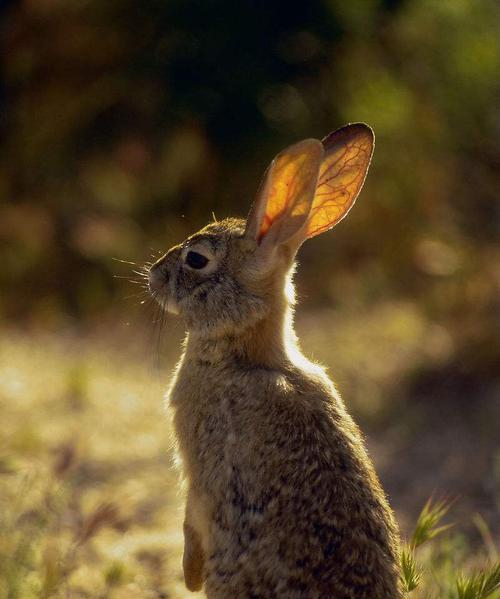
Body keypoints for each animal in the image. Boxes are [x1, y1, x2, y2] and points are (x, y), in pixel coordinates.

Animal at [148, 123, 402, 599]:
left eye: (196, 259)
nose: (154, 275)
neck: (245, 356)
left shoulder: (199, 467)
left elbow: (193, 514)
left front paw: (190, 575)